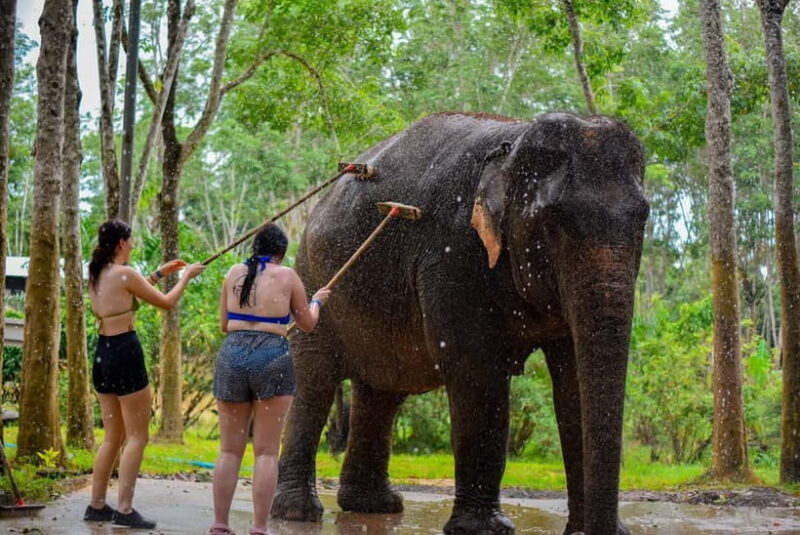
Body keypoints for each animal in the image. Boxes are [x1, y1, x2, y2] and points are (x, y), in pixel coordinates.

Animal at [271, 111, 649, 535]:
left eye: (644, 217)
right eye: (553, 222)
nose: (600, 529)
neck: (512, 143)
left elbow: (573, 384)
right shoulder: (453, 254)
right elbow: (477, 373)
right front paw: (483, 529)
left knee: (382, 389)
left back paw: (374, 506)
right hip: (309, 276)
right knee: (315, 381)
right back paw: (297, 512)